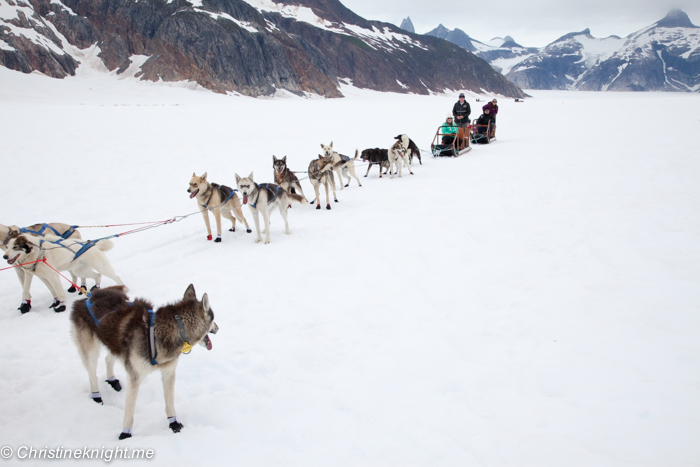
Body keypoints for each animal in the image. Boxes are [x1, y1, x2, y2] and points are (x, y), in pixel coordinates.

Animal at [71, 284, 217, 440]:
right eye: (213, 319)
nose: (218, 328)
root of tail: (86, 298)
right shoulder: (135, 377)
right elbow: (130, 410)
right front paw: (125, 433)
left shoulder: (168, 373)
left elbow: (169, 403)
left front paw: (174, 424)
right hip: (90, 351)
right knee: (92, 374)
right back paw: (96, 396)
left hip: (115, 344)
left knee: (108, 359)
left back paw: (112, 380)